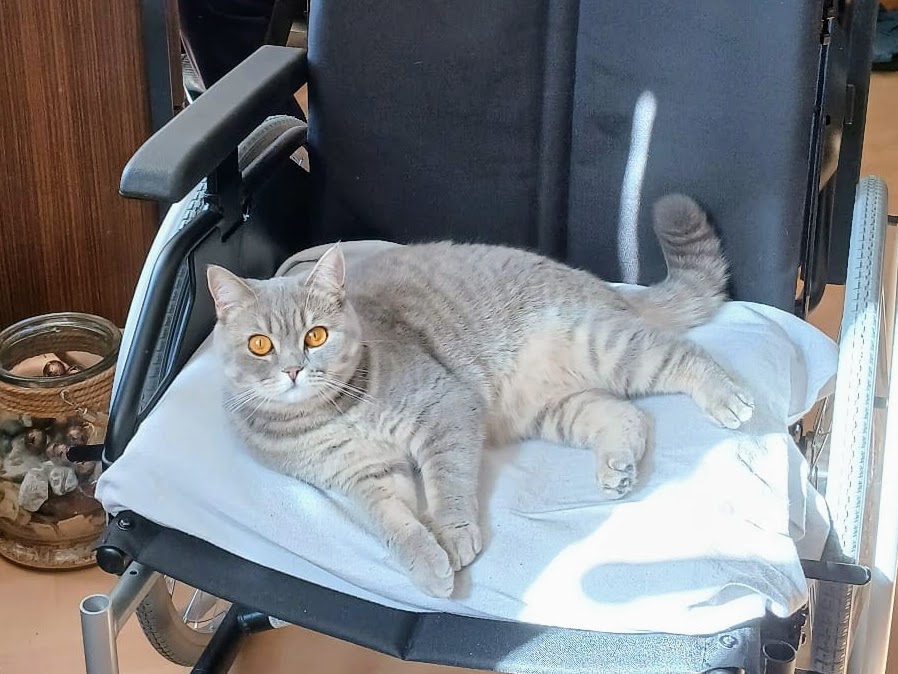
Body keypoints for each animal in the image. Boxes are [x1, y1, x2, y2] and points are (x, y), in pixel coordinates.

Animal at [207, 193, 753, 598]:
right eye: (260, 344)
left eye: (316, 335)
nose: (294, 370)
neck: (331, 414)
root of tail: (606, 288)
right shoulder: (362, 476)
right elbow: (394, 525)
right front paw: (426, 562)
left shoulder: (444, 410)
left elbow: (447, 484)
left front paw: (453, 534)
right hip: (554, 408)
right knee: (627, 416)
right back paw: (618, 465)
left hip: (608, 347)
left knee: (684, 356)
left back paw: (727, 398)